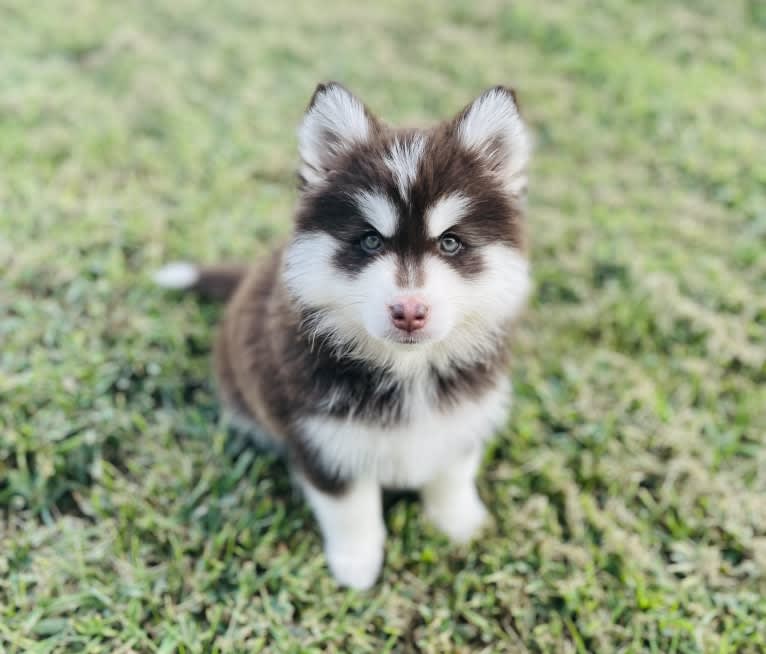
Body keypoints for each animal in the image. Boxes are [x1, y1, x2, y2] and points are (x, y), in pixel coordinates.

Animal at [156, 80, 536, 588]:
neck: (407, 370)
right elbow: (350, 508)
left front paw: (458, 524)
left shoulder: (464, 414)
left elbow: (453, 473)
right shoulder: (322, 440)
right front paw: (357, 565)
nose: (409, 312)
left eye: (451, 243)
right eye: (370, 241)